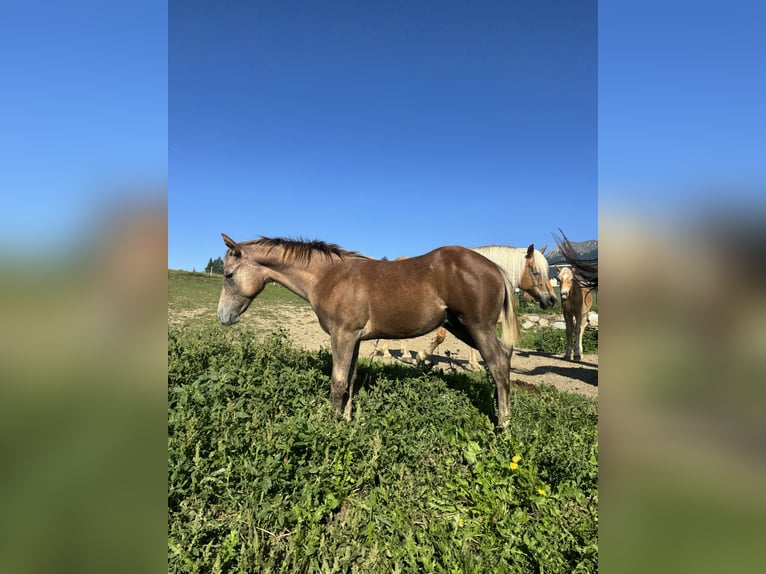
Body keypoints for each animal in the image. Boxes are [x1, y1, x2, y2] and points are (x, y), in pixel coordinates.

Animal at [217, 235, 520, 427]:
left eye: (228, 275)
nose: (223, 316)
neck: (329, 277)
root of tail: (495, 267)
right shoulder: (354, 338)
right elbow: (351, 379)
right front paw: (347, 420)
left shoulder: (342, 335)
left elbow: (338, 382)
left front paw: (331, 427)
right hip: (461, 327)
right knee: (504, 359)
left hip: (477, 327)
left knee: (497, 365)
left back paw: (504, 425)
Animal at [380, 244, 556, 369]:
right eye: (535, 271)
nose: (552, 299)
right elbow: (441, 337)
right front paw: (422, 356)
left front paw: (474, 364)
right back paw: (388, 354)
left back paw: (404, 353)